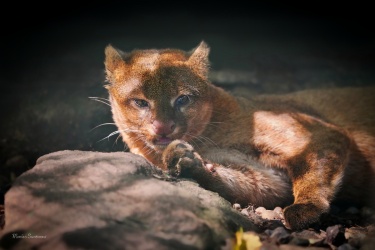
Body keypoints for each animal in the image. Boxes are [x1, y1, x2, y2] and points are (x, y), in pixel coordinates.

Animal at [101, 41, 374, 230]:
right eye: (140, 102)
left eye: (183, 99)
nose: (163, 127)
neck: (208, 137)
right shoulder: (270, 179)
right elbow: (238, 183)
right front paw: (186, 162)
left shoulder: (317, 134)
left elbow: (312, 172)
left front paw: (305, 208)